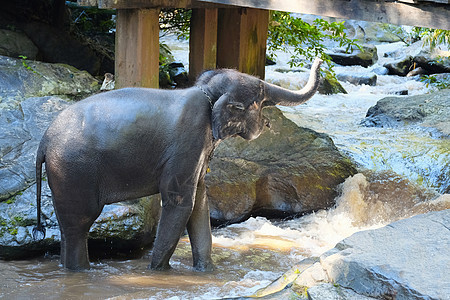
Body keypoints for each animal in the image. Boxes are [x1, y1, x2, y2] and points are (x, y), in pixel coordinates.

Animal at [34, 57, 324, 270]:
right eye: (260, 99)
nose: (319, 58)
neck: (206, 91)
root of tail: (44, 140)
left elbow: (200, 201)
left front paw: (207, 272)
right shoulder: (188, 141)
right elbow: (180, 202)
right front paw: (157, 272)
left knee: (67, 226)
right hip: (73, 169)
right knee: (79, 224)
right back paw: (80, 271)